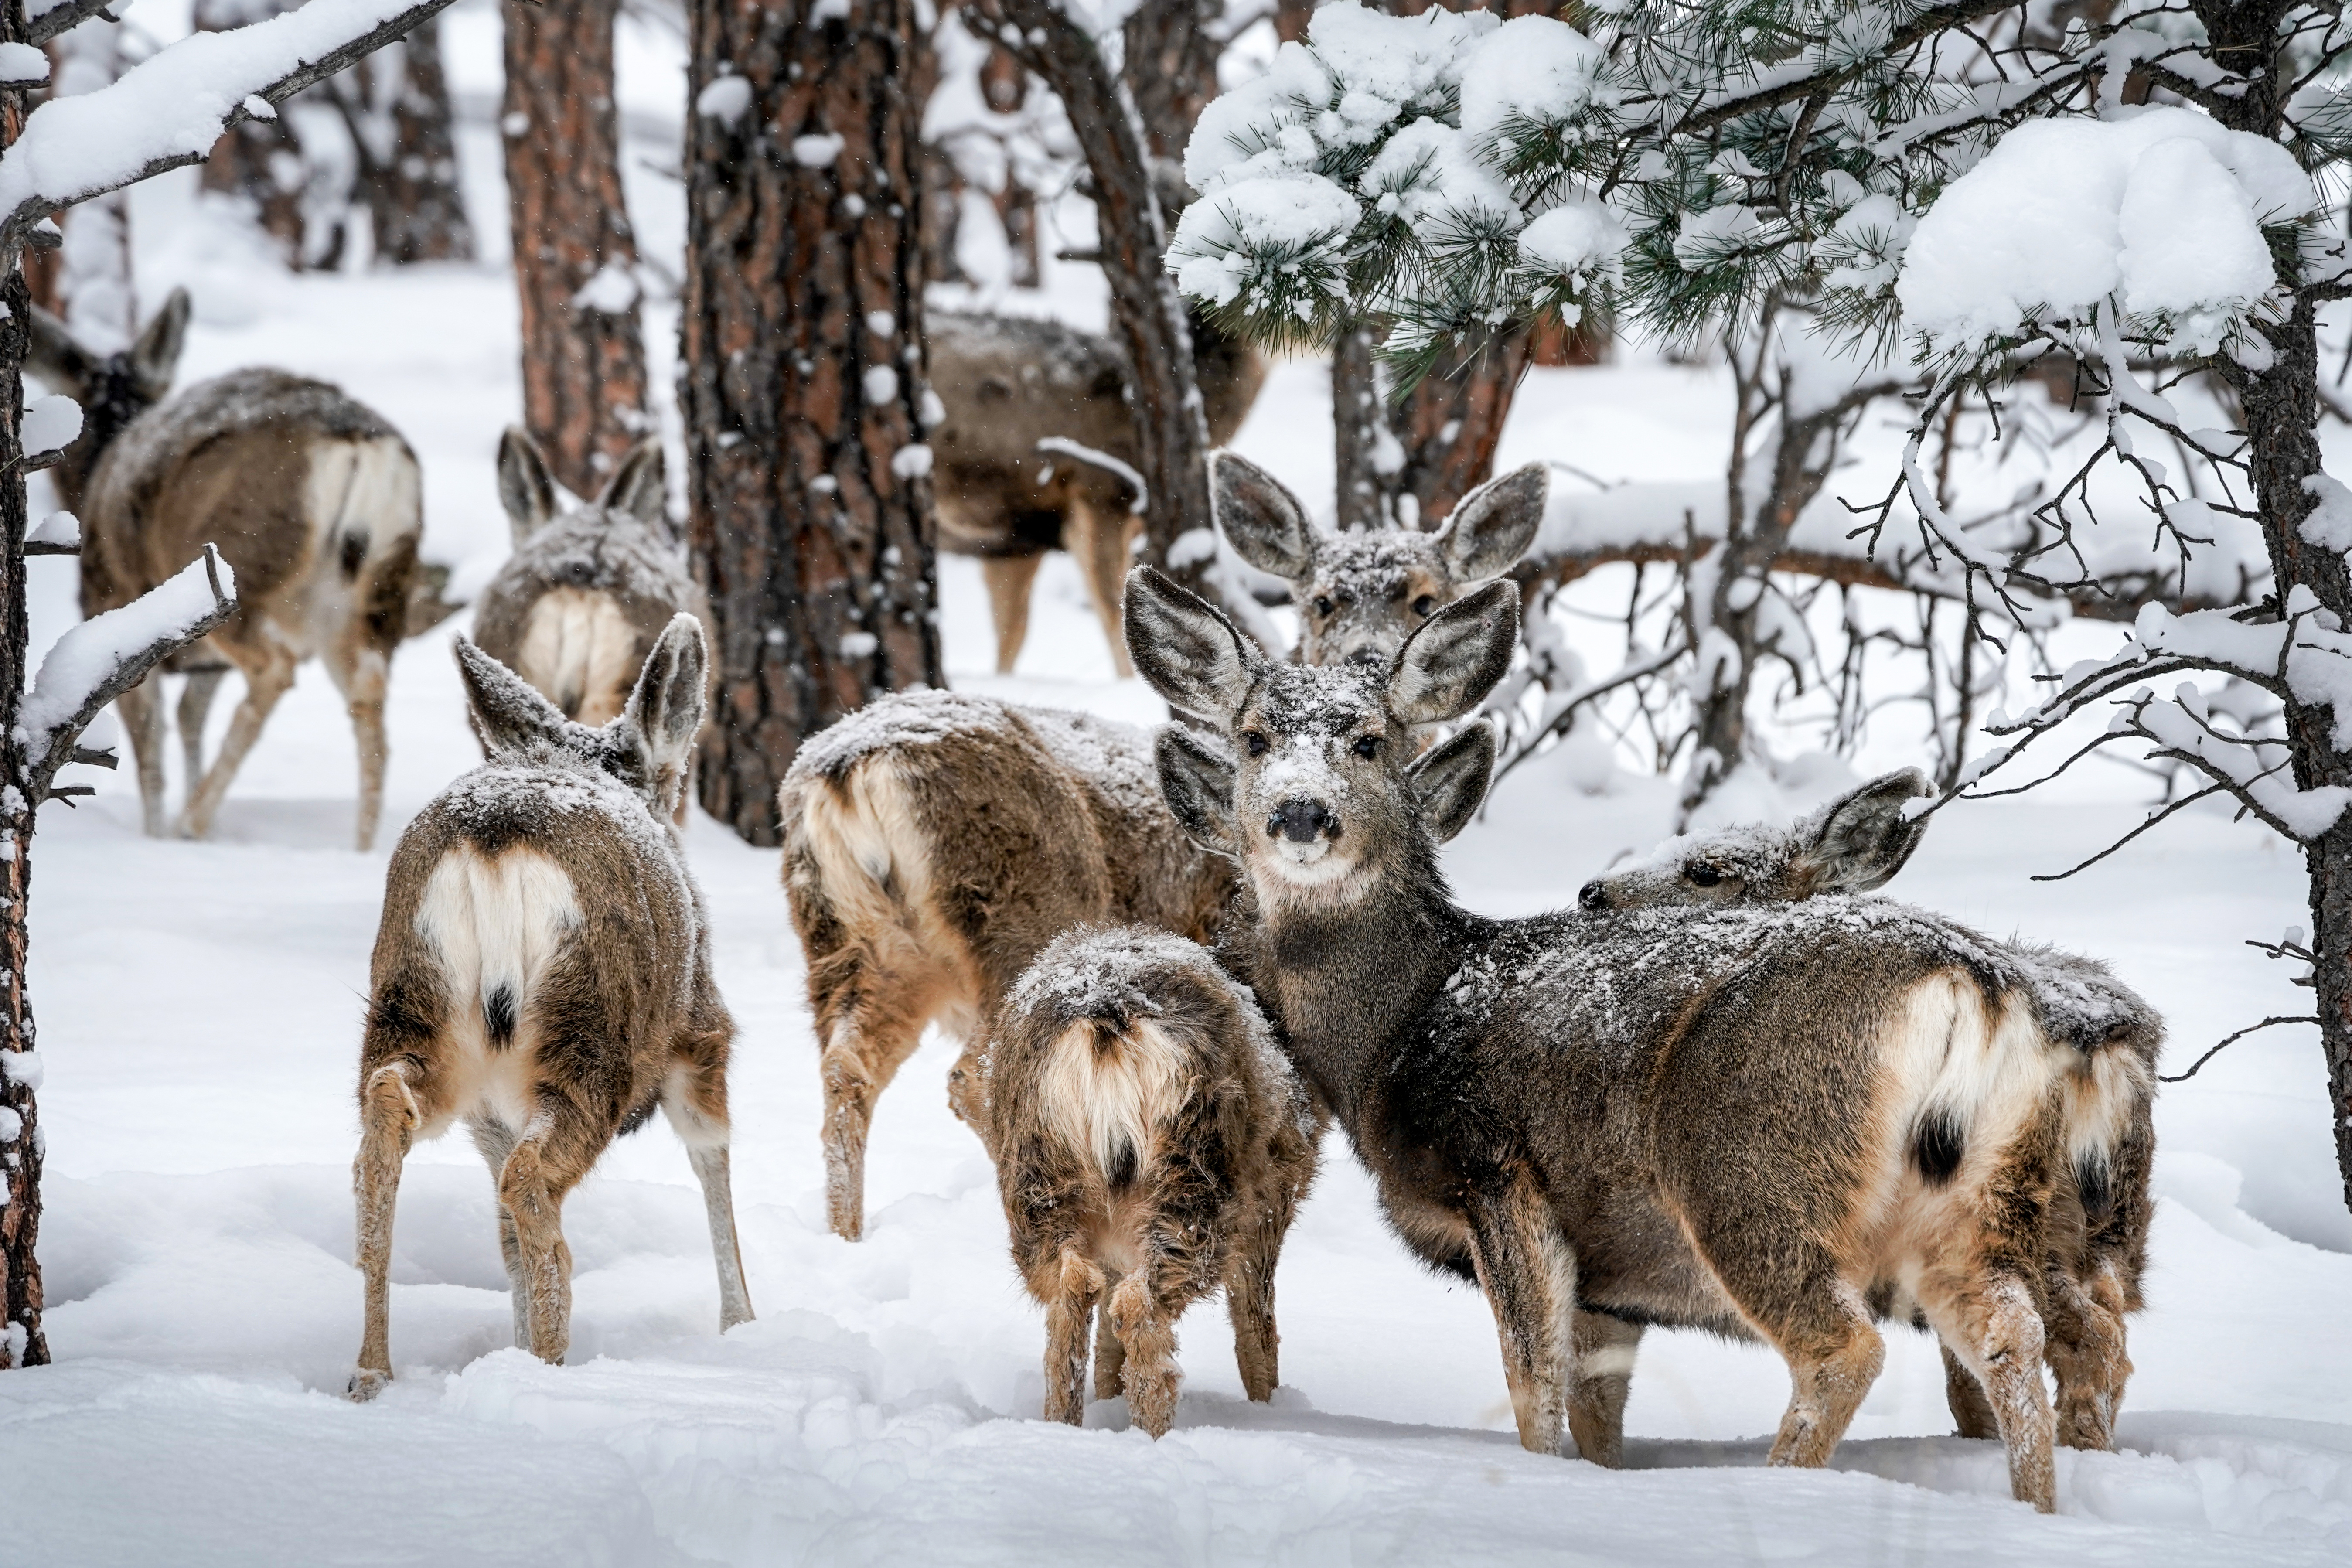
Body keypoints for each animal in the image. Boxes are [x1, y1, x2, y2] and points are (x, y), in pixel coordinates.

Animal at [28, 289, 428, 852]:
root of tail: (359, 445)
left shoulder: (115, 603)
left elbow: (151, 745)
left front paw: (157, 835)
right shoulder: (202, 660)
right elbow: (190, 719)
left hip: (243, 573)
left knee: (275, 669)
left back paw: (191, 822)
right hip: (378, 588)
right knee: (368, 692)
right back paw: (365, 845)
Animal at [349, 618, 750, 1399]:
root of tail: (494, 838)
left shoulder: (491, 1114)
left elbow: (504, 1238)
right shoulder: (701, 1033)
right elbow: (712, 1159)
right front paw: (744, 1327)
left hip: (413, 1010)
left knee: (387, 1125)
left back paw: (372, 1372)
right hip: (594, 1032)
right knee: (532, 1182)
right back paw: (546, 1371)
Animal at [780, 449, 1546, 1243]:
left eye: (1425, 599)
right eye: (1323, 600)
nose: (1368, 658)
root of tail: (851, 767)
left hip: (849, 943)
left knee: (845, 1069)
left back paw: (845, 1236)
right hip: (1018, 917)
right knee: (973, 1074)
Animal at [976, 924, 1322, 1435]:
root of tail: (1105, 1019)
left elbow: (1106, 1344)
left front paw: (1107, 1395)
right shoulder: (1271, 1204)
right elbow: (1257, 1329)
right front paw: (1270, 1409)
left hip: (1036, 1176)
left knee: (1073, 1292)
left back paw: (1062, 1425)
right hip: (1198, 1175)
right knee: (1141, 1307)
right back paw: (1154, 1435)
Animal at [1575, 769, 2161, 1456]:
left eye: (1706, 870)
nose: (1589, 893)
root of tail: (2107, 1043)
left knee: (2080, 1338)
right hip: (2104, 1224)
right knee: (2093, 1336)